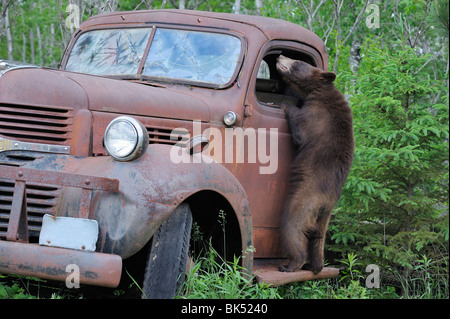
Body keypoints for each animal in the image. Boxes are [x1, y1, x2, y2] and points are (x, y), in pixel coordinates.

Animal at [274, 55, 356, 276]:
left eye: (297, 62)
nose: (280, 55)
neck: (319, 91)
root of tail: (326, 204)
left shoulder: (318, 115)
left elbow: (301, 129)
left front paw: (285, 105)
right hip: (324, 221)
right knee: (318, 241)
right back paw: (316, 266)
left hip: (303, 203)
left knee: (292, 227)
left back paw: (290, 264)